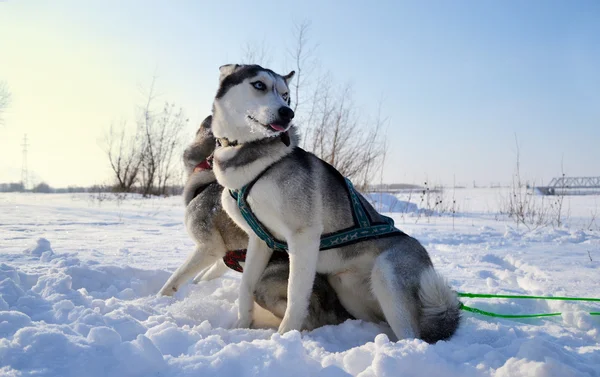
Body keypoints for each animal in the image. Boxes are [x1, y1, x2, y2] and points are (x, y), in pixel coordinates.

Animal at [158, 114, 352, 328]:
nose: (209, 116)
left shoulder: (209, 248)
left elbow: (176, 276)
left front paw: (159, 298)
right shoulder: (224, 258)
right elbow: (204, 276)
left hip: (266, 284)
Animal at [210, 64, 460, 340]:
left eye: (286, 95)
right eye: (259, 85)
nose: (288, 113)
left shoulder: (304, 236)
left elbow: (296, 295)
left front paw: (285, 336)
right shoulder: (260, 241)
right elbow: (246, 286)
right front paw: (241, 325)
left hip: (388, 272)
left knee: (411, 336)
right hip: (347, 289)